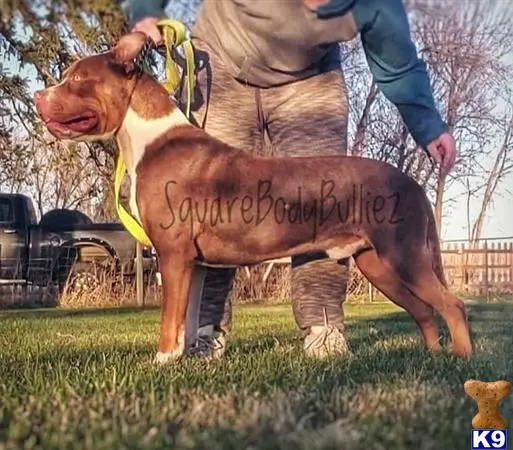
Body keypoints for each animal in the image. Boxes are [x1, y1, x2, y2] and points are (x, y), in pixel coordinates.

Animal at [33, 31, 472, 362]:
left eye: (77, 79)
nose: (39, 96)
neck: (149, 137)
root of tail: (412, 182)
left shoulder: (173, 253)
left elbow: (169, 317)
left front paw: (160, 361)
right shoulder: (192, 262)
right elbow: (188, 315)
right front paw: (186, 359)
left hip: (403, 253)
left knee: (451, 305)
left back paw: (461, 363)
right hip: (377, 263)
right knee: (424, 310)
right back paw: (434, 357)